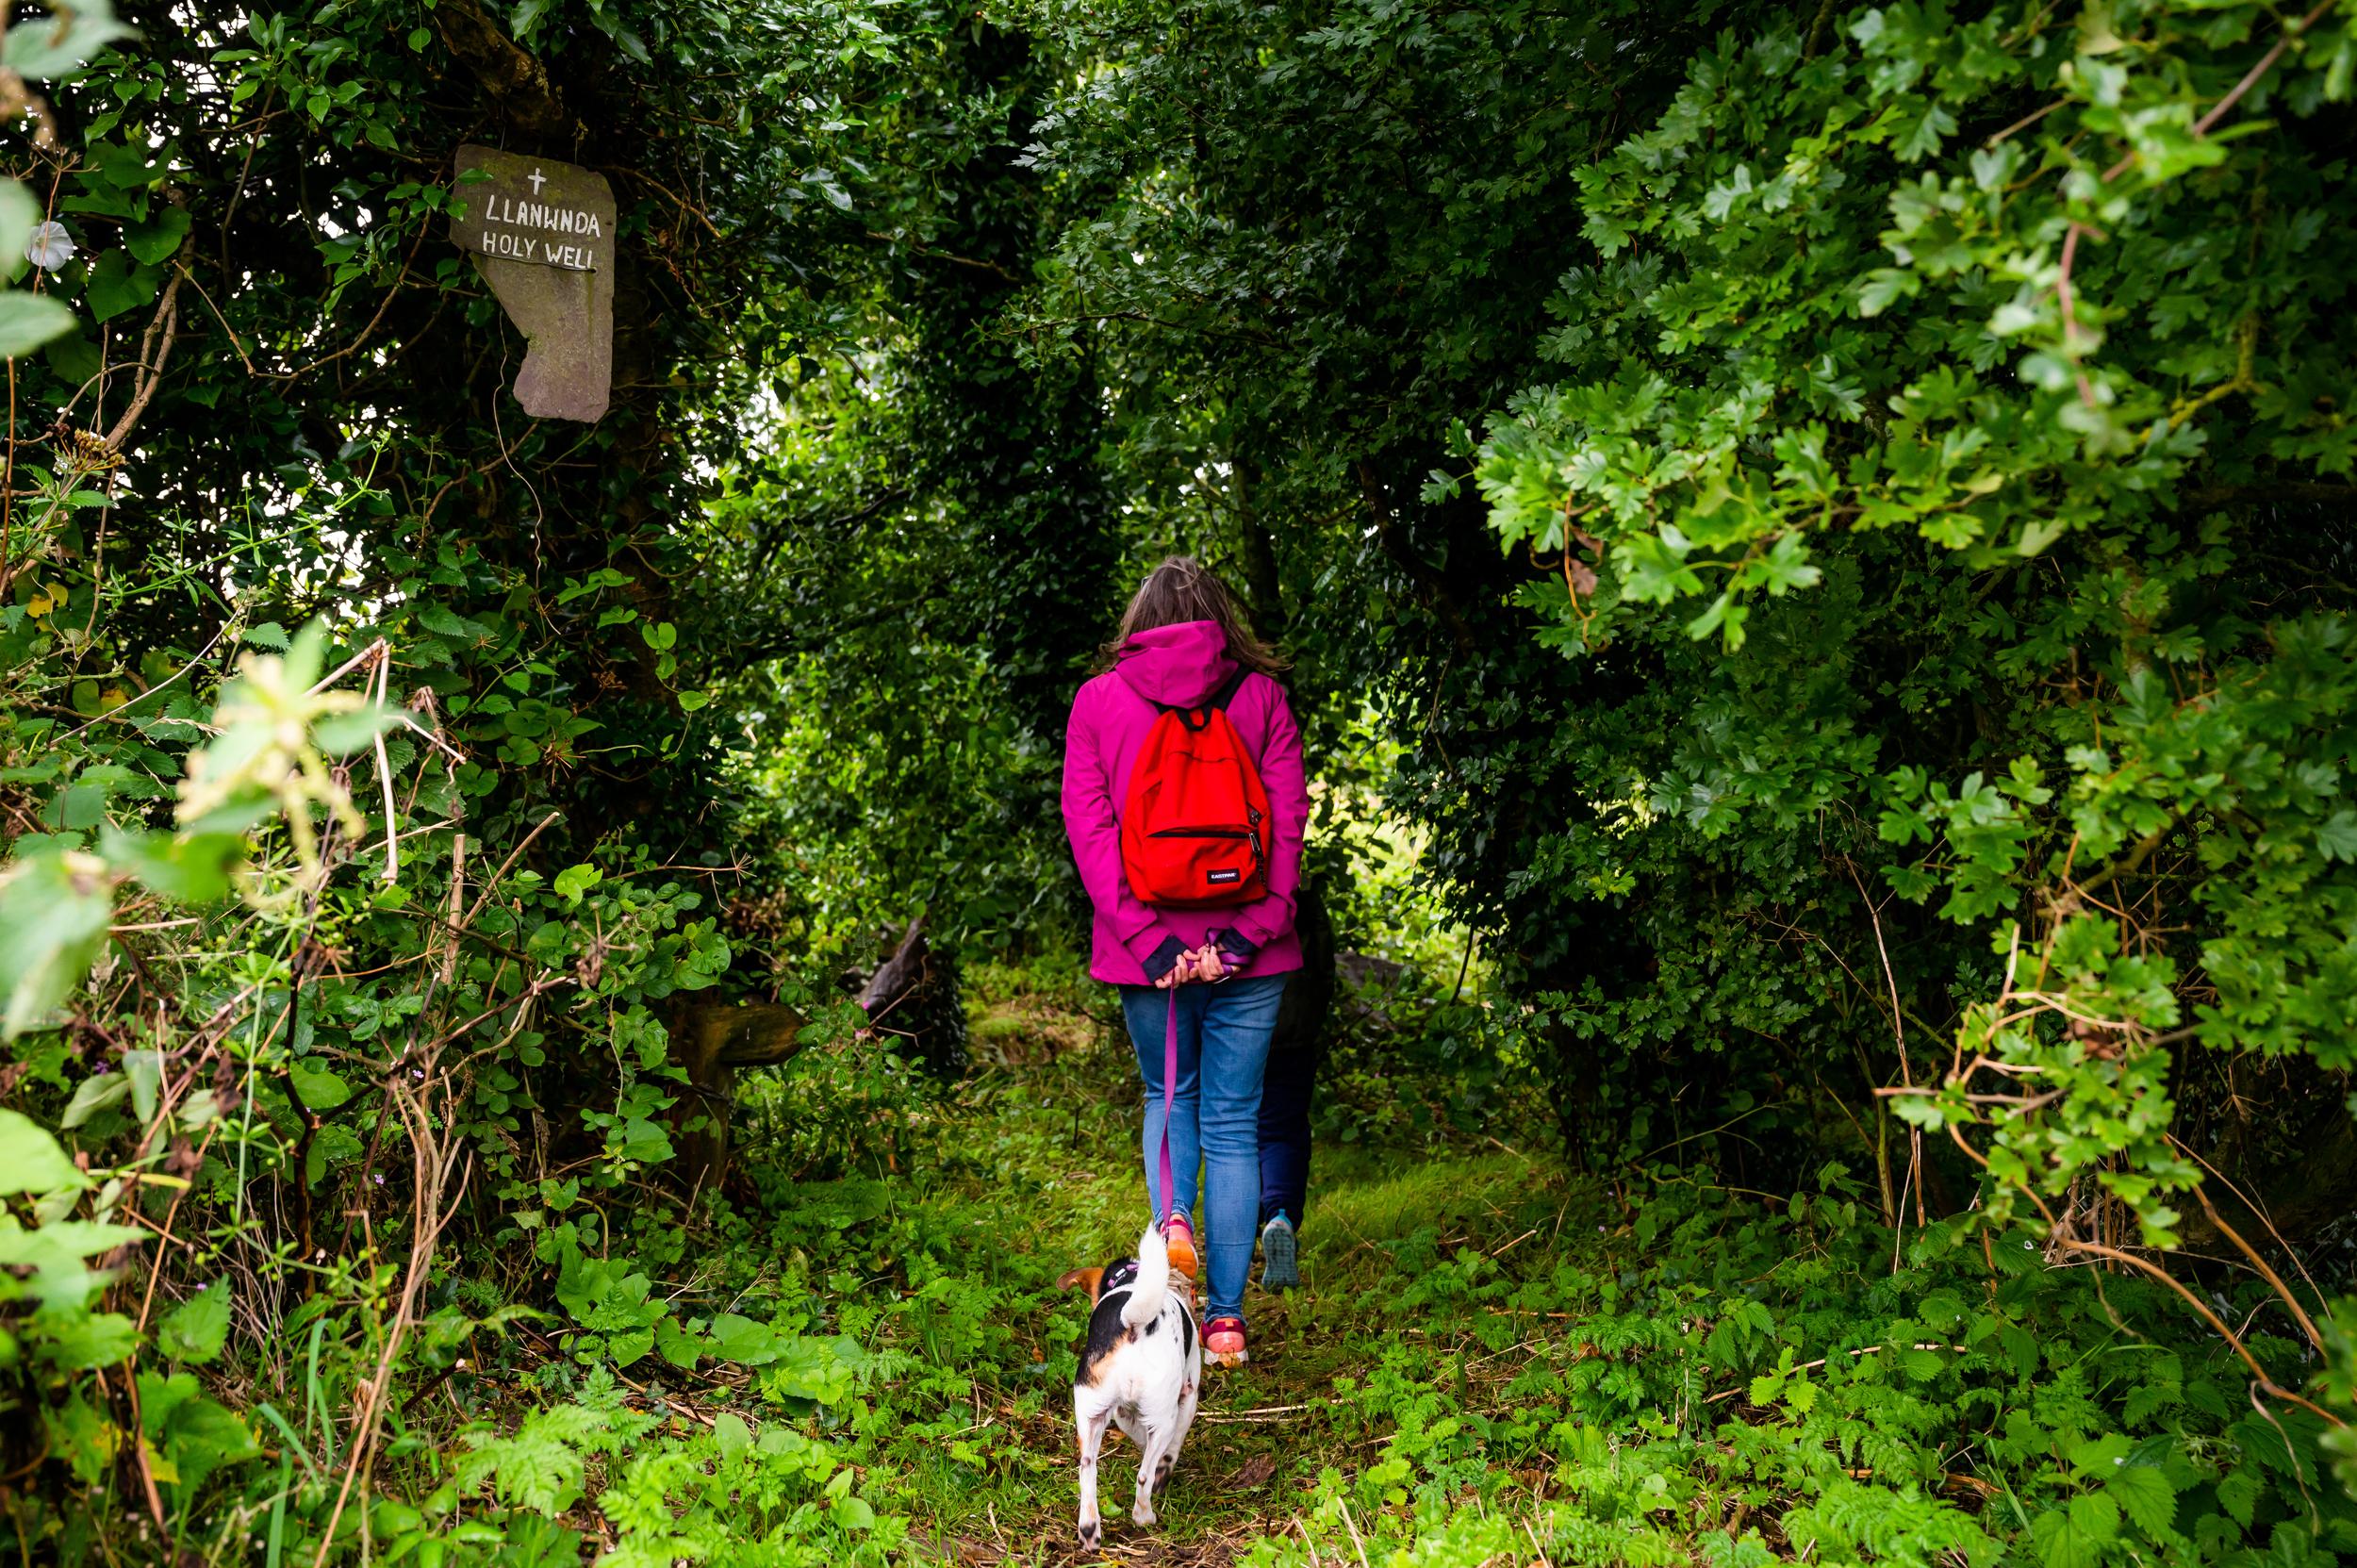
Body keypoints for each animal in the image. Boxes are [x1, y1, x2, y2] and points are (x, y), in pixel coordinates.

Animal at [1065, 1226, 1207, 1537]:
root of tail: (1132, 1324)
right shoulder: (1189, 1395)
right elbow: (1172, 1445)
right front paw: (1165, 1465)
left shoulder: (1123, 1414)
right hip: (1164, 1413)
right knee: (1144, 1476)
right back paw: (1144, 1515)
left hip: (1090, 1413)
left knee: (1087, 1469)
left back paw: (1090, 1529)